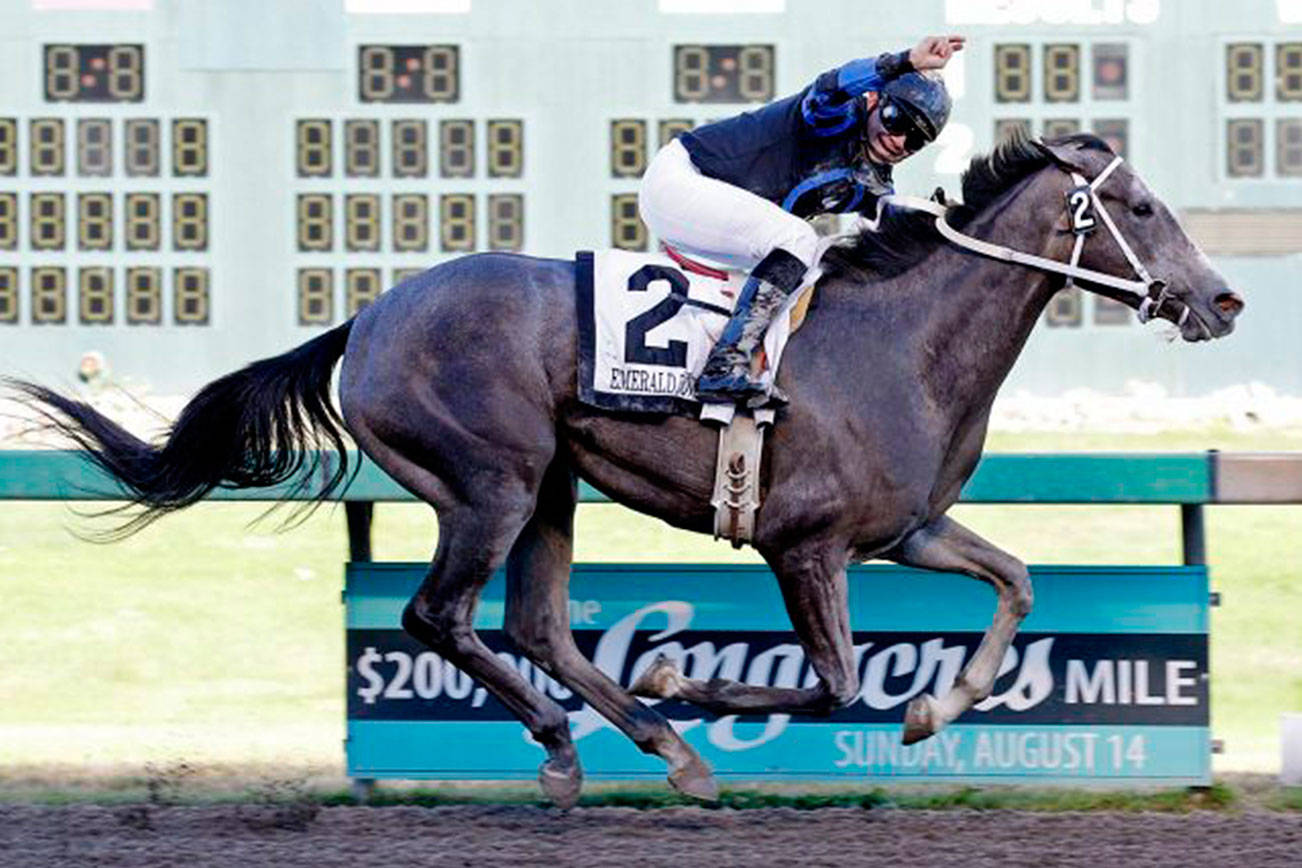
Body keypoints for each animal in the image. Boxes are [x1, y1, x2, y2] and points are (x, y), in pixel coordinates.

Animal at [10, 135, 1239, 806]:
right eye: (1139, 208)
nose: (1221, 299)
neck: (905, 339)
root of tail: (367, 315)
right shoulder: (806, 545)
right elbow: (838, 681)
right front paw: (684, 678)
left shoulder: (909, 529)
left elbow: (1017, 584)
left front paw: (939, 709)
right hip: (492, 482)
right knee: (437, 615)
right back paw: (583, 743)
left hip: (551, 484)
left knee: (536, 623)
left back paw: (653, 750)